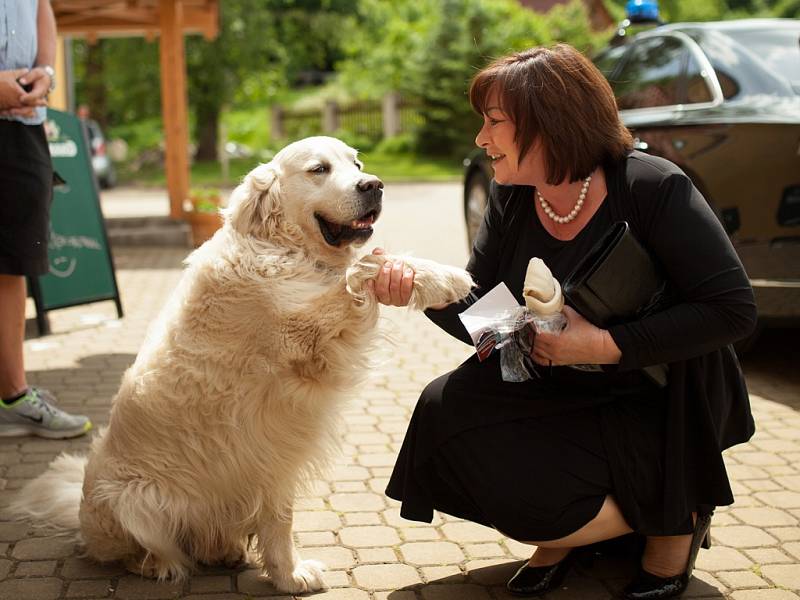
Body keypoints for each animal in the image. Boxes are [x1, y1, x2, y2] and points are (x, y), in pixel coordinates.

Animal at [10, 137, 476, 596]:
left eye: (357, 163)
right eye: (318, 169)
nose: (374, 185)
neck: (281, 248)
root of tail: (82, 514)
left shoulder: (278, 447)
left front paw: (441, 275)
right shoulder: (304, 342)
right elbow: (364, 269)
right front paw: (289, 577)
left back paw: (224, 551)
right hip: (136, 501)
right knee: (136, 550)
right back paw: (159, 564)